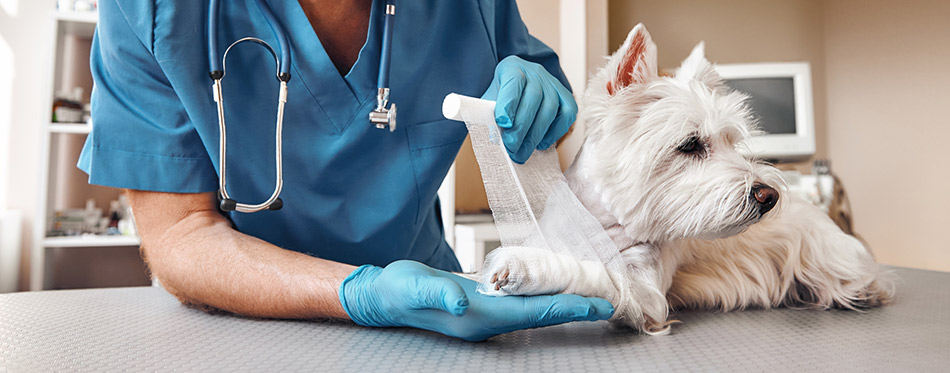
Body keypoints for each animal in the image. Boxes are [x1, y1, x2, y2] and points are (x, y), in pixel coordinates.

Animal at [480, 24, 896, 332]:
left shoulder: (645, 291)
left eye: (731, 142)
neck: (607, 221)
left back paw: (861, 292)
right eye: (691, 144)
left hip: (828, 252)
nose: (770, 195)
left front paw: (522, 266)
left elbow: (600, 272)